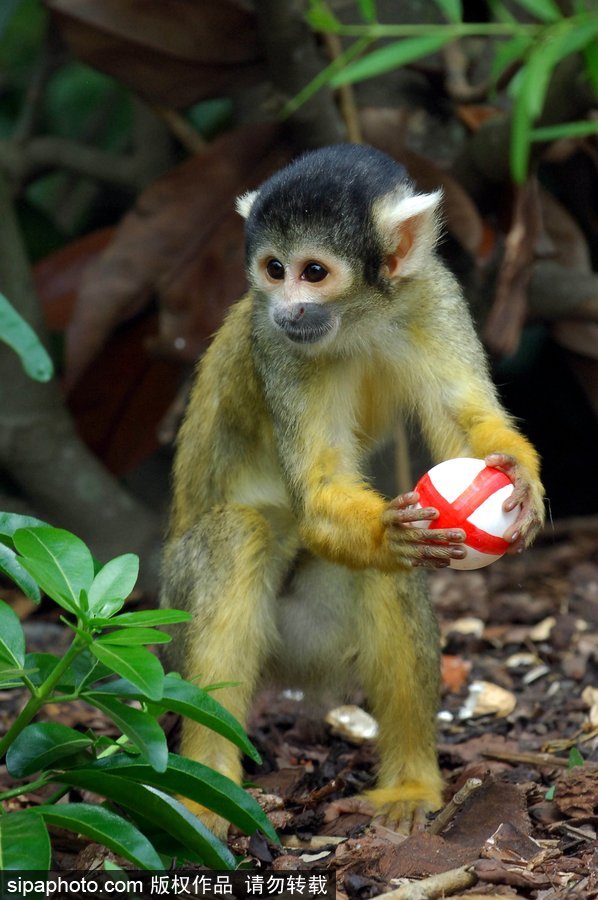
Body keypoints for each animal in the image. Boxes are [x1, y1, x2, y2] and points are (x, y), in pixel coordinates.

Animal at [161, 142, 548, 836]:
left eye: (313, 272)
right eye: (274, 269)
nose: (288, 306)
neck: (360, 317)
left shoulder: (432, 296)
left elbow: (464, 425)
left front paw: (519, 477)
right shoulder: (273, 344)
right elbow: (318, 491)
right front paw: (387, 533)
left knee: (388, 582)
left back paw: (411, 784)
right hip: (178, 611)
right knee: (237, 535)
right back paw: (208, 789)